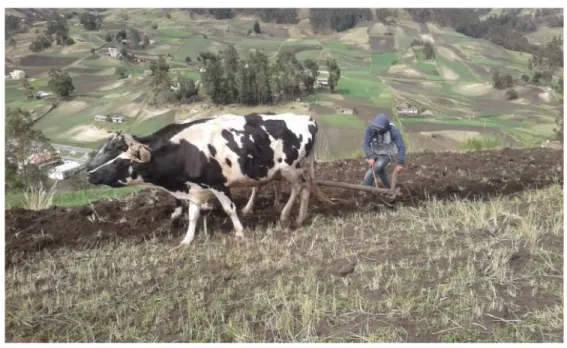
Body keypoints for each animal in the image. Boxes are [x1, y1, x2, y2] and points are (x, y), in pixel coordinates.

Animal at [86, 113, 330, 246]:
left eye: (119, 161)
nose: (90, 173)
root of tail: (306, 118)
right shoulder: (194, 189)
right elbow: (193, 214)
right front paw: (186, 239)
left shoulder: (218, 184)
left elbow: (229, 209)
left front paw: (239, 232)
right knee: (303, 188)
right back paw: (296, 217)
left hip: (291, 169)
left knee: (300, 188)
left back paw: (287, 216)